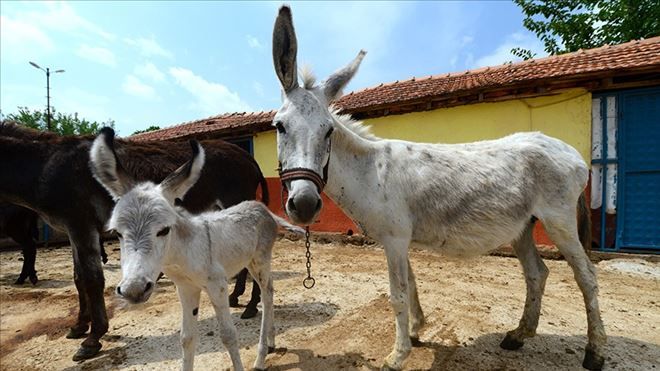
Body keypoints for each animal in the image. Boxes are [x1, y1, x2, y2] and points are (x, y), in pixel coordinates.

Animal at [90, 134, 302, 371]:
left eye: (164, 230)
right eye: (116, 233)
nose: (133, 290)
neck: (183, 253)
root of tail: (264, 209)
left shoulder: (218, 287)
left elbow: (229, 335)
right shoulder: (186, 288)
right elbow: (187, 338)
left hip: (261, 260)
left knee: (267, 295)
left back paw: (261, 355)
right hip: (248, 261)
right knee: (270, 290)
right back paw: (271, 342)